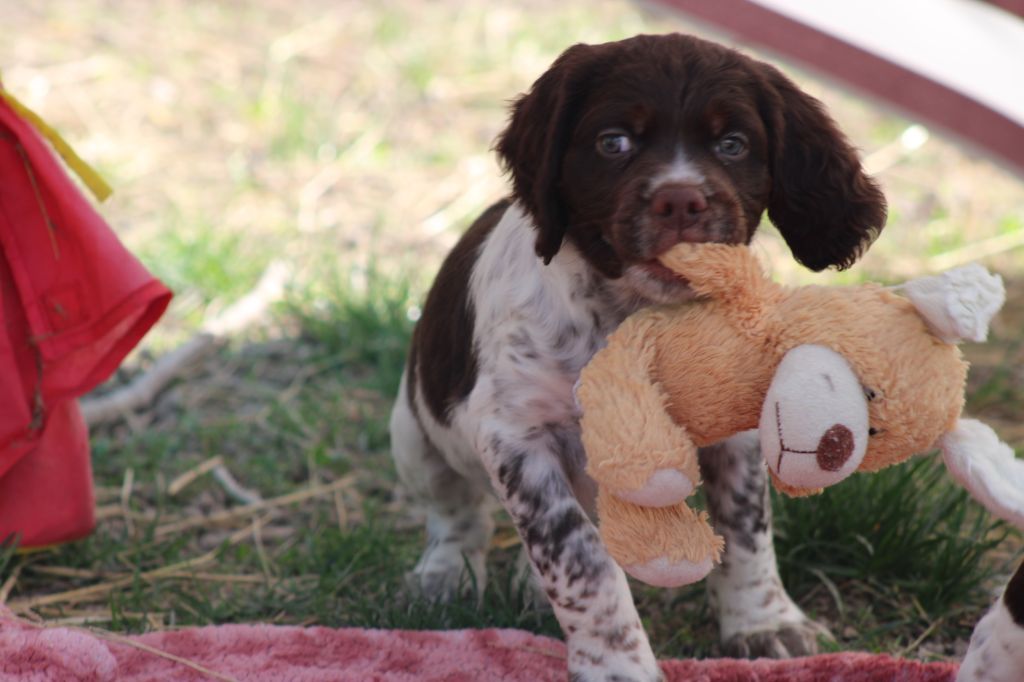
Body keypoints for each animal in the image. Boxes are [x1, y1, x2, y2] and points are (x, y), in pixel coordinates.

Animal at [387, 33, 884, 679]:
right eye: (613, 142)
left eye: (733, 144)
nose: (681, 201)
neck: (634, 315)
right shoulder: (516, 439)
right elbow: (579, 557)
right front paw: (616, 665)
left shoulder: (739, 431)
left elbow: (747, 528)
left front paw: (765, 623)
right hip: (415, 435)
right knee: (457, 515)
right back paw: (443, 576)